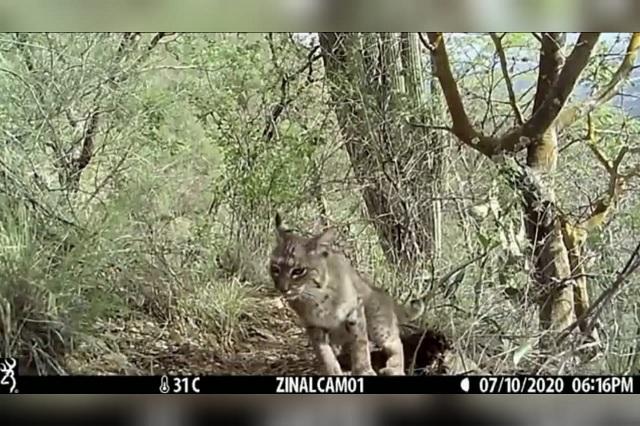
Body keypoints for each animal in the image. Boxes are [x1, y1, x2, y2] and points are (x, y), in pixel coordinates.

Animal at [268, 213, 422, 376]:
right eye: (275, 269)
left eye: (298, 271)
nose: (282, 288)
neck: (315, 296)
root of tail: (385, 295)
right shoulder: (313, 324)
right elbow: (323, 352)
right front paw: (332, 371)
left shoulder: (355, 310)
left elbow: (360, 343)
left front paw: (364, 370)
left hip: (377, 320)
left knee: (395, 342)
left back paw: (394, 368)